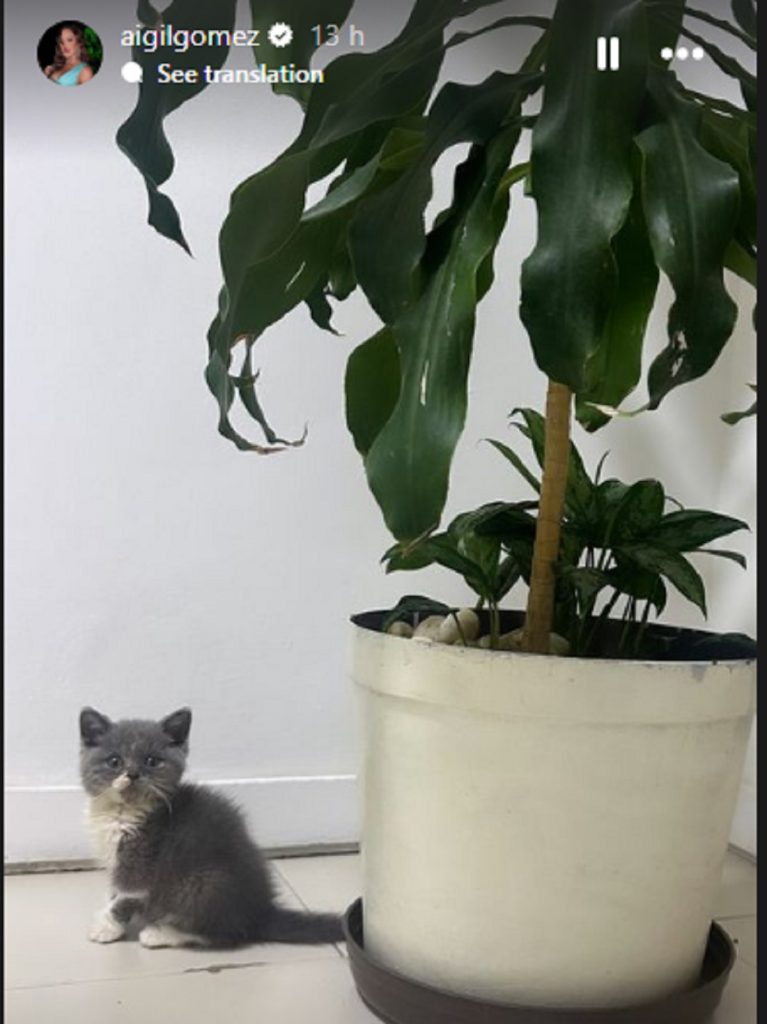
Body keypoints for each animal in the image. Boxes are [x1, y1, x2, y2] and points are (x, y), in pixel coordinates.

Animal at [79, 706, 344, 949]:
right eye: (114, 761)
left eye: (151, 761)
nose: (132, 774)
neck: (123, 812)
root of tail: (260, 912)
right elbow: (115, 892)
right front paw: (108, 915)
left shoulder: (142, 859)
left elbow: (125, 896)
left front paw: (106, 926)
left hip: (203, 885)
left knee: (225, 934)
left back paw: (162, 933)